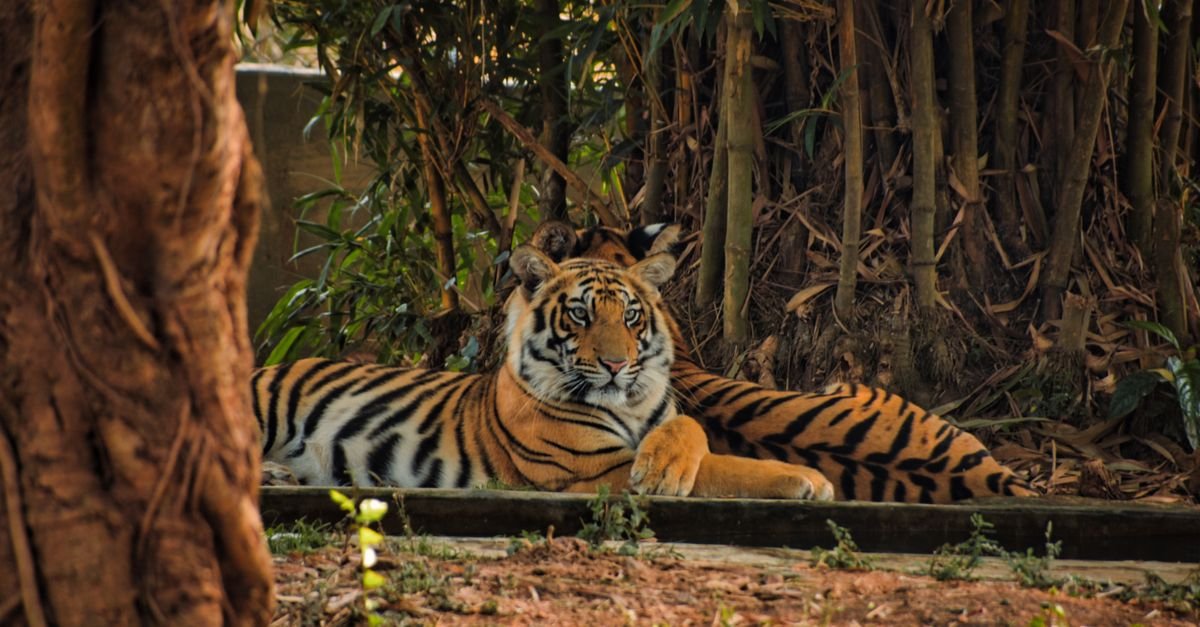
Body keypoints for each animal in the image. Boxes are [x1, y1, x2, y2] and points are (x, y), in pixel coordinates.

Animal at [254, 244, 835, 500]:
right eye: (580, 314)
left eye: (630, 315)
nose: (616, 364)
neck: (631, 405)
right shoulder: (595, 470)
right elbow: (725, 469)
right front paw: (807, 479)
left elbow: (694, 433)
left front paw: (666, 465)